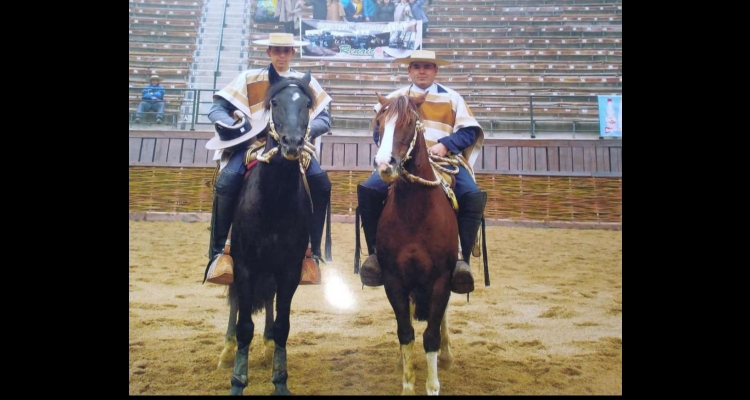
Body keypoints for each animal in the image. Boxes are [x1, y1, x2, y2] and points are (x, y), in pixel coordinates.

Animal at [219, 66, 318, 396]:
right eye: (275, 103)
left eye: (307, 104)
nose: (292, 144)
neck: (274, 201)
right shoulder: (244, 265)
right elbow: (244, 324)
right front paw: (238, 381)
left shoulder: (288, 269)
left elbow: (282, 326)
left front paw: (280, 381)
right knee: (236, 303)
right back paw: (227, 350)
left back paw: (266, 345)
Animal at [372, 92, 456, 396]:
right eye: (379, 123)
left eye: (409, 123)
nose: (385, 165)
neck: (414, 214)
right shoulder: (394, 279)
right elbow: (405, 332)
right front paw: (408, 384)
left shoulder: (442, 279)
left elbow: (430, 335)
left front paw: (432, 386)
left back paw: (447, 355)